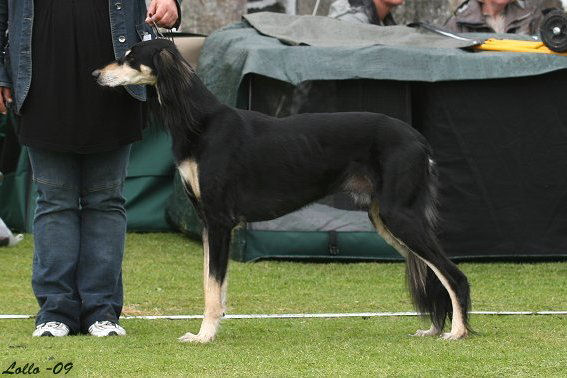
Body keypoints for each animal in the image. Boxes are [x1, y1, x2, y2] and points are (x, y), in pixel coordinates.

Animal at [95, 38, 472, 342]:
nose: (96, 74)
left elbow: (213, 288)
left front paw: (204, 336)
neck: (201, 121)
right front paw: (210, 329)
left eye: (130, 58)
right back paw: (434, 329)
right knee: (432, 272)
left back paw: (457, 332)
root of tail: (419, 139)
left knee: (453, 274)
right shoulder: (206, 222)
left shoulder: (218, 220)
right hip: (386, 219)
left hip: (399, 215)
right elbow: (210, 283)